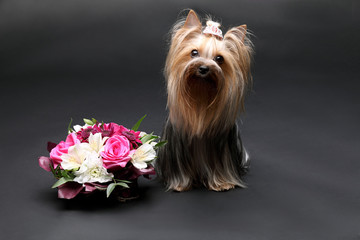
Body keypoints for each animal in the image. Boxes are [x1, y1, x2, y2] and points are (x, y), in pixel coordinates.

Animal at [158, 9, 253, 191]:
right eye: (194, 53)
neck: (200, 98)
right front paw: (180, 185)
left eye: (219, 59)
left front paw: (223, 183)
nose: (203, 68)